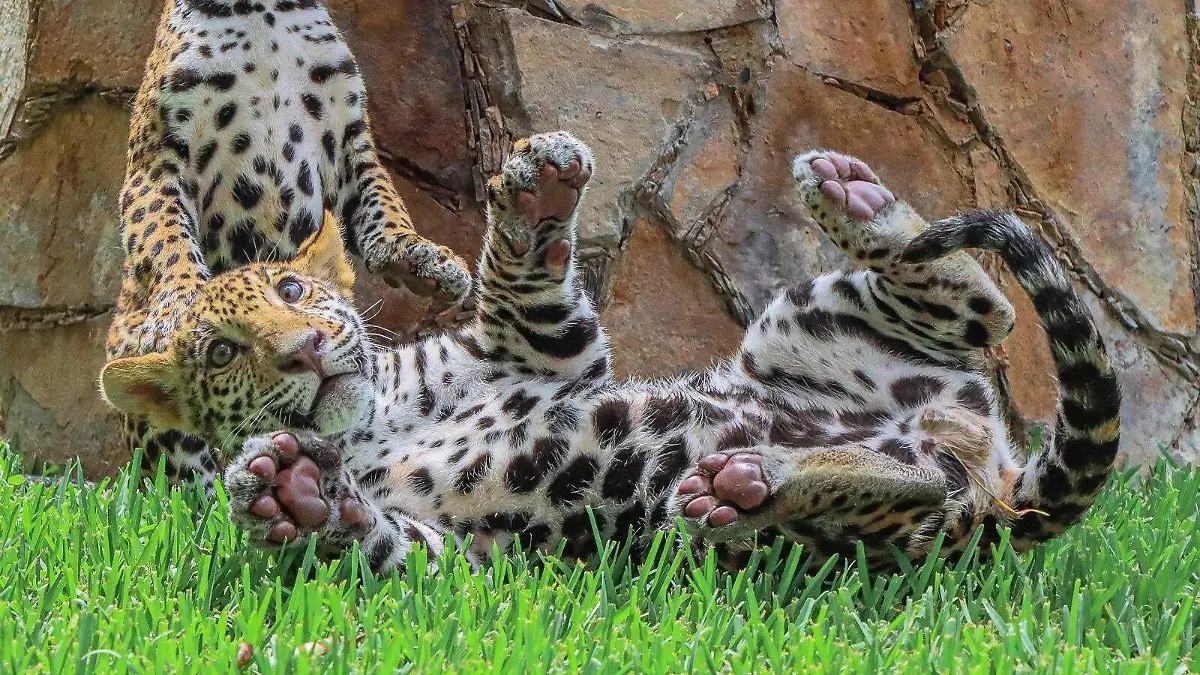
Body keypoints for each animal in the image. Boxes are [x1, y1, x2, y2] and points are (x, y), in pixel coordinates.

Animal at [99, 131, 1122, 576]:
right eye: (223, 352)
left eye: (293, 291)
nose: (305, 349)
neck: (372, 423)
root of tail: (1000, 483)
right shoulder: (475, 561)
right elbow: (393, 543)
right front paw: (291, 494)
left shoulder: (540, 350)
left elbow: (518, 274)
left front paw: (534, 190)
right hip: (872, 521)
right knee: (914, 475)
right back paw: (755, 482)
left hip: (803, 322)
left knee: (986, 308)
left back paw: (854, 197)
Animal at [105, 0, 474, 489]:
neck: (261, 15)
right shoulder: (156, 156)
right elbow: (161, 234)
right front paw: (181, 302)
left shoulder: (350, 139)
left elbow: (383, 200)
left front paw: (417, 257)